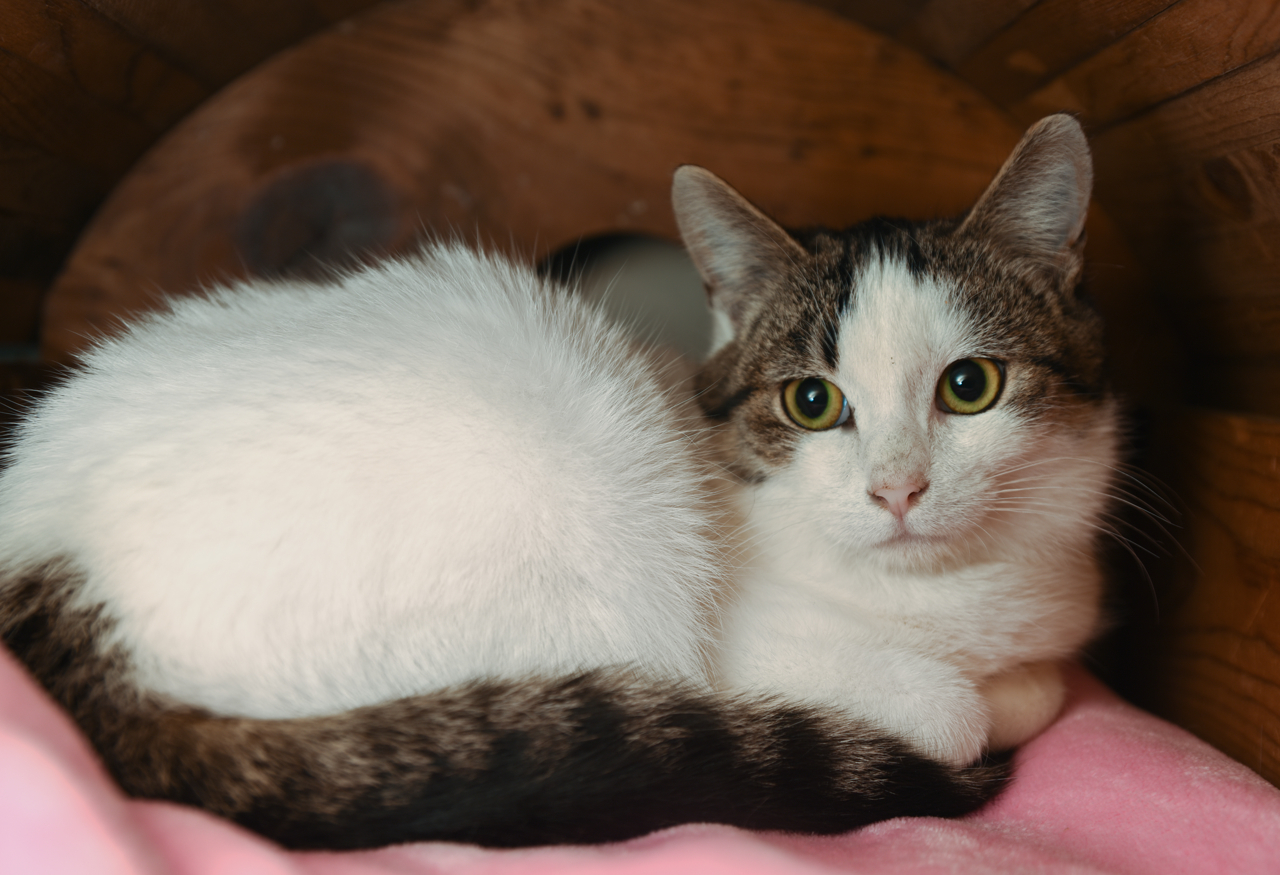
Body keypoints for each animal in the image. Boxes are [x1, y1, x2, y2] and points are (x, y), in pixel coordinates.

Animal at [0, 112, 1111, 849]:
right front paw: (982, 700)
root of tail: (46, 562)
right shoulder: (739, 652)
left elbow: (1044, 680)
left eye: (968, 386)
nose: (897, 489)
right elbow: (966, 709)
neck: (957, 600)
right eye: (810, 401)